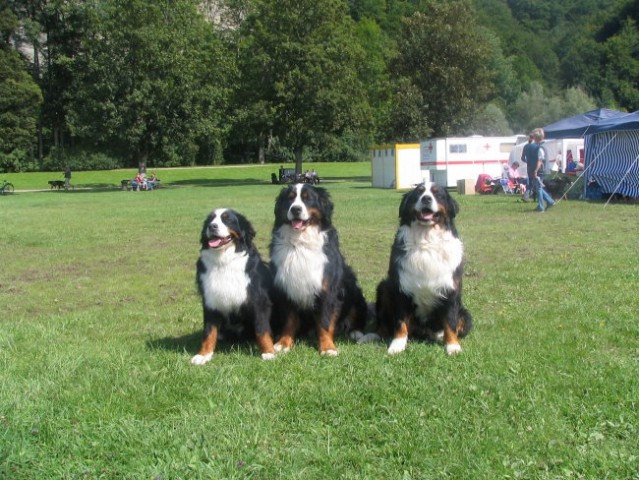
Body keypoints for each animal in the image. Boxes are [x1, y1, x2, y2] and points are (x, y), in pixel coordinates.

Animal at [192, 207, 278, 364]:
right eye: (210, 220)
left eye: (227, 219)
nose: (212, 226)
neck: (224, 261)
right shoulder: (210, 300)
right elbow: (209, 331)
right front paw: (203, 355)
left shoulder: (258, 300)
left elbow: (262, 328)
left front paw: (269, 352)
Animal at [270, 184, 370, 356]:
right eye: (290, 198)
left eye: (308, 198)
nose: (295, 209)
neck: (300, 243)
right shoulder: (287, 287)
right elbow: (289, 321)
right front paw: (283, 343)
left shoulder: (327, 289)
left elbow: (325, 322)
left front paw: (327, 347)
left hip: (354, 291)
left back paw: (355, 332)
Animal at [372, 182, 472, 354]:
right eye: (419, 193)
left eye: (437, 194)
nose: (426, 199)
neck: (427, 239)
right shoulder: (401, 289)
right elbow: (400, 322)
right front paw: (397, 345)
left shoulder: (450, 289)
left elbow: (451, 321)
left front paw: (452, 346)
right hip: (384, 287)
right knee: (384, 324)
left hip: (465, 314)